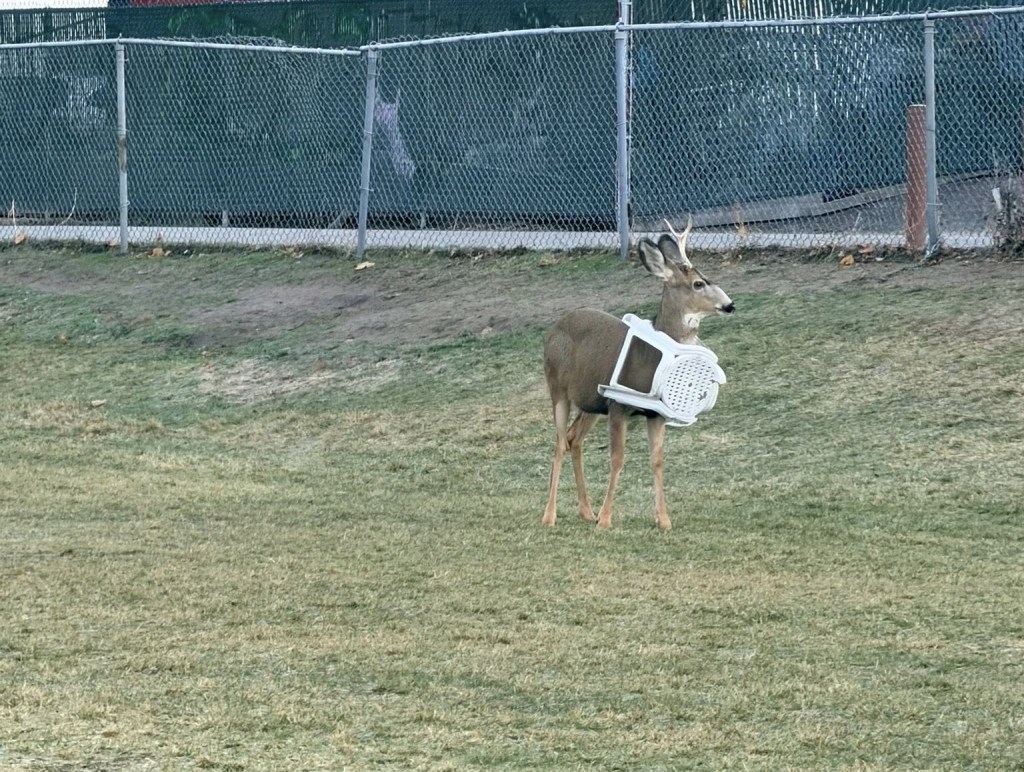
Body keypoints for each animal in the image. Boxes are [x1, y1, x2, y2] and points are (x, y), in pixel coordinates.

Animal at [541, 219, 735, 530]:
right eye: (698, 283)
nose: (730, 305)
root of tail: (553, 329)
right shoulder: (618, 406)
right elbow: (617, 459)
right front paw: (606, 519)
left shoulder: (655, 414)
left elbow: (657, 460)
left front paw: (663, 519)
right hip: (557, 387)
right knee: (559, 443)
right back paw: (550, 516)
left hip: (590, 403)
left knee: (574, 439)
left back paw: (586, 511)